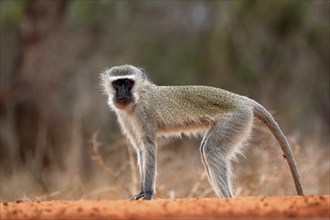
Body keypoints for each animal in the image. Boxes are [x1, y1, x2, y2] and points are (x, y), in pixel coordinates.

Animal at [100, 64, 304, 200]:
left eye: (128, 82)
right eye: (117, 84)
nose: (122, 92)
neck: (137, 99)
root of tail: (244, 100)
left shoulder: (145, 113)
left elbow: (149, 145)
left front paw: (148, 193)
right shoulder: (125, 118)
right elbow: (140, 149)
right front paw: (142, 191)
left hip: (236, 119)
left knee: (211, 150)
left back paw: (227, 200)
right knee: (206, 148)